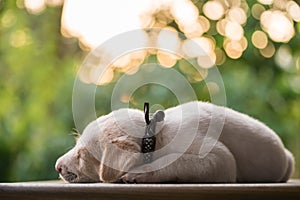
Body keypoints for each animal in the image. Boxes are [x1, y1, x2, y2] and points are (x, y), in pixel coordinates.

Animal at [55, 101, 294, 183]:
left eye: (82, 156)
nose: (57, 166)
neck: (156, 136)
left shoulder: (221, 159)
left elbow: (177, 161)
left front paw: (139, 174)